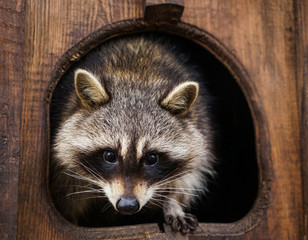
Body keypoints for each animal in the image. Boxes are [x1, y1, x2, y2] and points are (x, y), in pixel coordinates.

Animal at [49, 33, 215, 232]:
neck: (137, 82)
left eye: (152, 158)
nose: (127, 205)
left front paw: (173, 204)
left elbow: (188, 176)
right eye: (109, 155)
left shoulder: (200, 123)